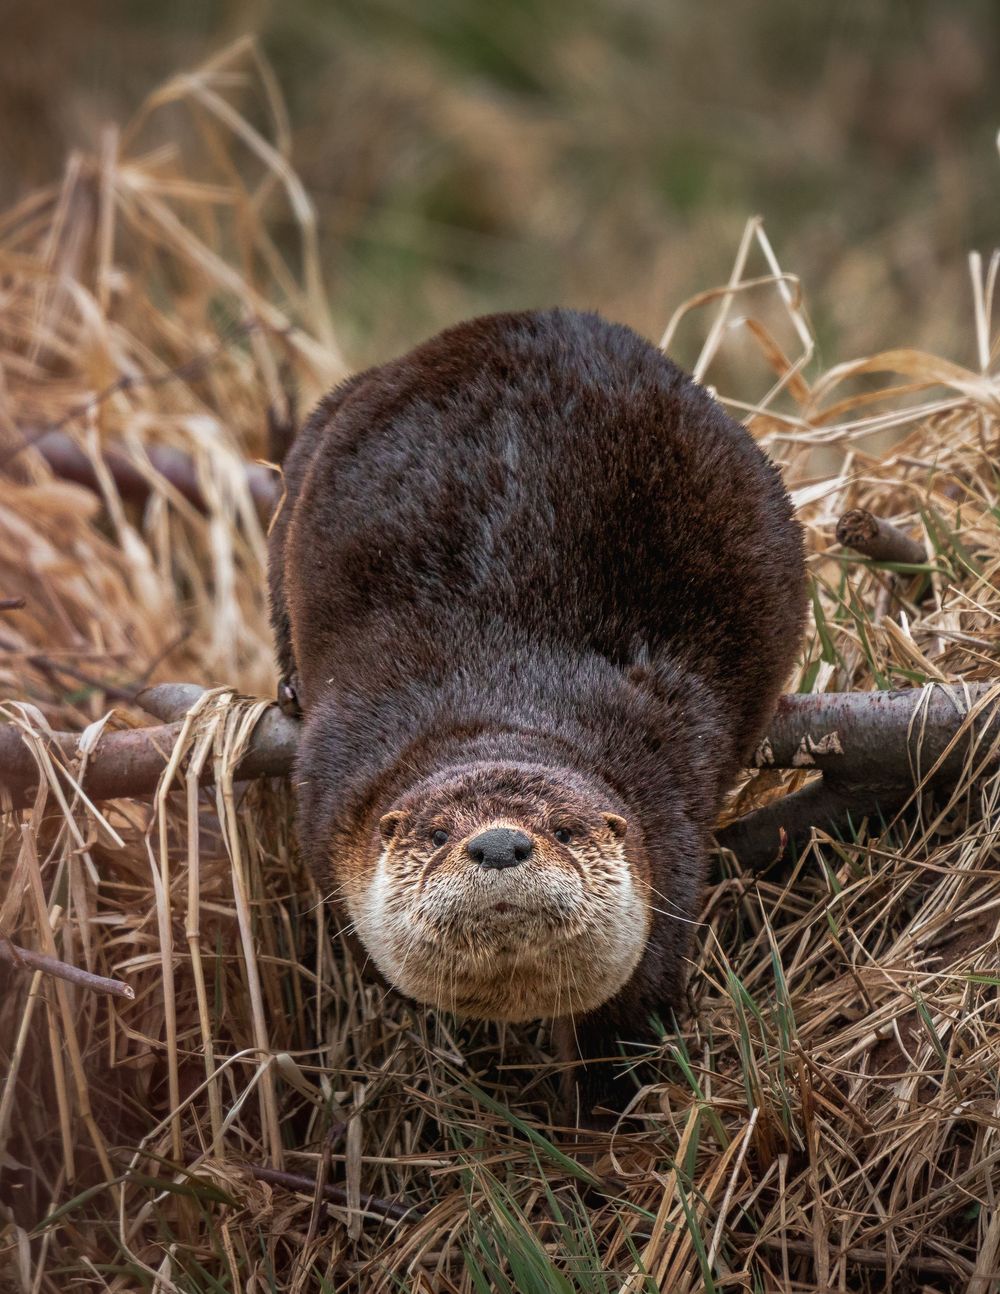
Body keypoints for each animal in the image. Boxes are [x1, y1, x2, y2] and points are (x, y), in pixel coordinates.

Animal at [268, 309, 807, 1120]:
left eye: (564, 829)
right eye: (437, 833)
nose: (498, 843)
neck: (508, 691)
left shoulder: (668, 820)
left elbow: (635, 1001)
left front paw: (608, 1104)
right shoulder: (326, 792)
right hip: (309, 451)